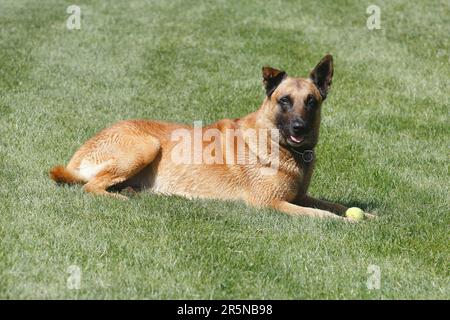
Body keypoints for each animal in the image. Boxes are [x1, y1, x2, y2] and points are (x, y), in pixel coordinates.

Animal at [49, 55, 372, 220]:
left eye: (311, 102)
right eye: (284, 101)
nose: (299, 128)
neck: (277, 145)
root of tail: (78, 156)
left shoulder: (302, 196)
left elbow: (334, 205)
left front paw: (368, 217)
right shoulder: (269, 202)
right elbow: (323, 216)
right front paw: (346, 223)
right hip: (146, 145)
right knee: (90, 186)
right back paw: (120, 198)